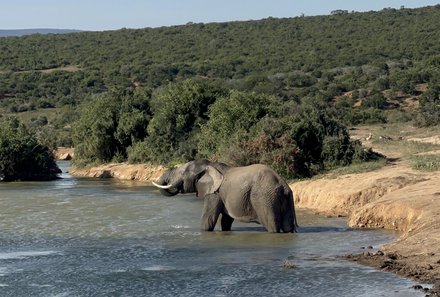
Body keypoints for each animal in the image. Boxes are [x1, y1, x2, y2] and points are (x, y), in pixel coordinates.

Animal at [152, 158, 300, 232]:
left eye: (182, 173)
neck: (210, 165)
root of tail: (284, 185)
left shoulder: (215, 193)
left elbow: (208, 220)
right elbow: (226, 221)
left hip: (264, 198)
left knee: (272, 226)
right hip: (279, 199)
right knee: (288, 227)